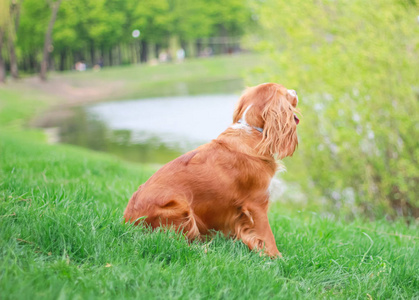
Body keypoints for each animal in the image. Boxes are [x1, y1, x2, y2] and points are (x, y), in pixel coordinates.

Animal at [123, 82, 300, 258]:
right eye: (286, 92)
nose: (295, 91)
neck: (251, 131)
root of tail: (127, 222)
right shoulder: (256, 203)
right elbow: (267, 235)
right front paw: (277, 258)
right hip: (180, 207)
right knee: (178, 241)